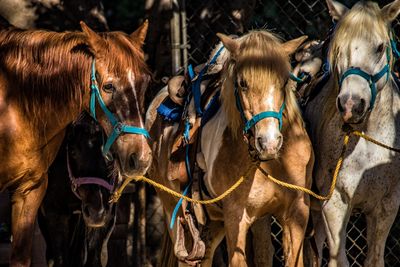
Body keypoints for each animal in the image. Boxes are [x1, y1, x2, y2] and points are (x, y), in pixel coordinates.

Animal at [0, 18, 152, 266]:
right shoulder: (54, 214)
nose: (140, 157)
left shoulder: (30, 191)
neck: (16, 102)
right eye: (108, 86)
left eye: (145, 83)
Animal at [306, 1, 400, 266]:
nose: (351, 105)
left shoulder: (387, 205)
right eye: (339, 49)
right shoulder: (334, 202)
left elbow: (375, 259)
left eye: (380, 47)